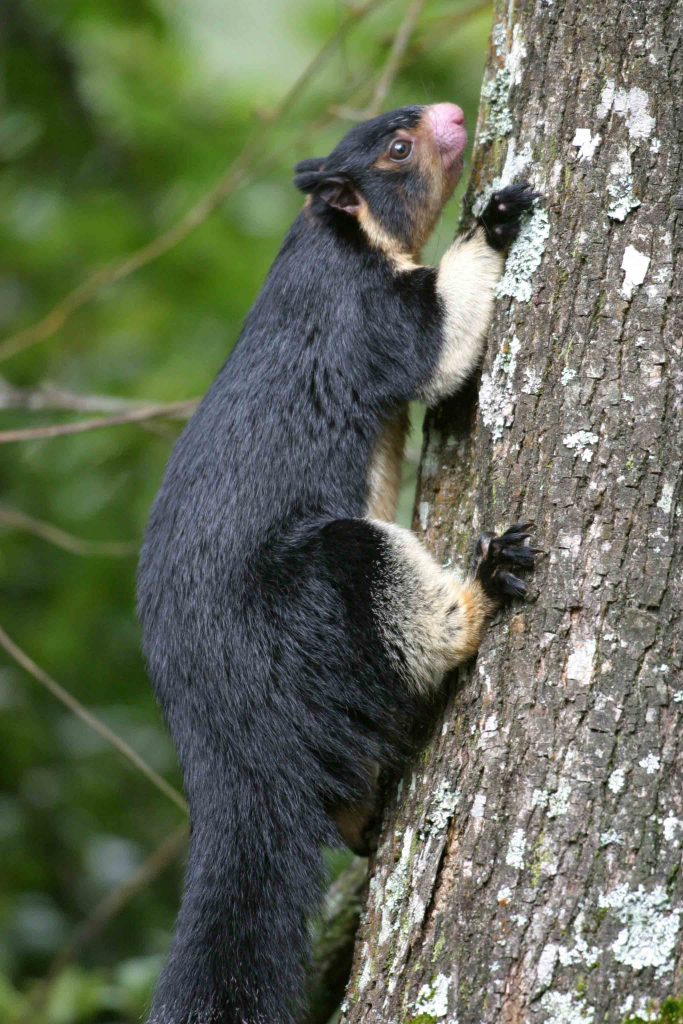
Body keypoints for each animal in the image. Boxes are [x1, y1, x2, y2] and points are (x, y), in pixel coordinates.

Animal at [139, 101, 540, 1024]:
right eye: (395, 148)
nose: (454, 113)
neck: (337, 237)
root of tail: (234, 753)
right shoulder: (365, 316)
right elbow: (436, 343)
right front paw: (497, 219)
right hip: (326, 588)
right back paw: (482, 586)